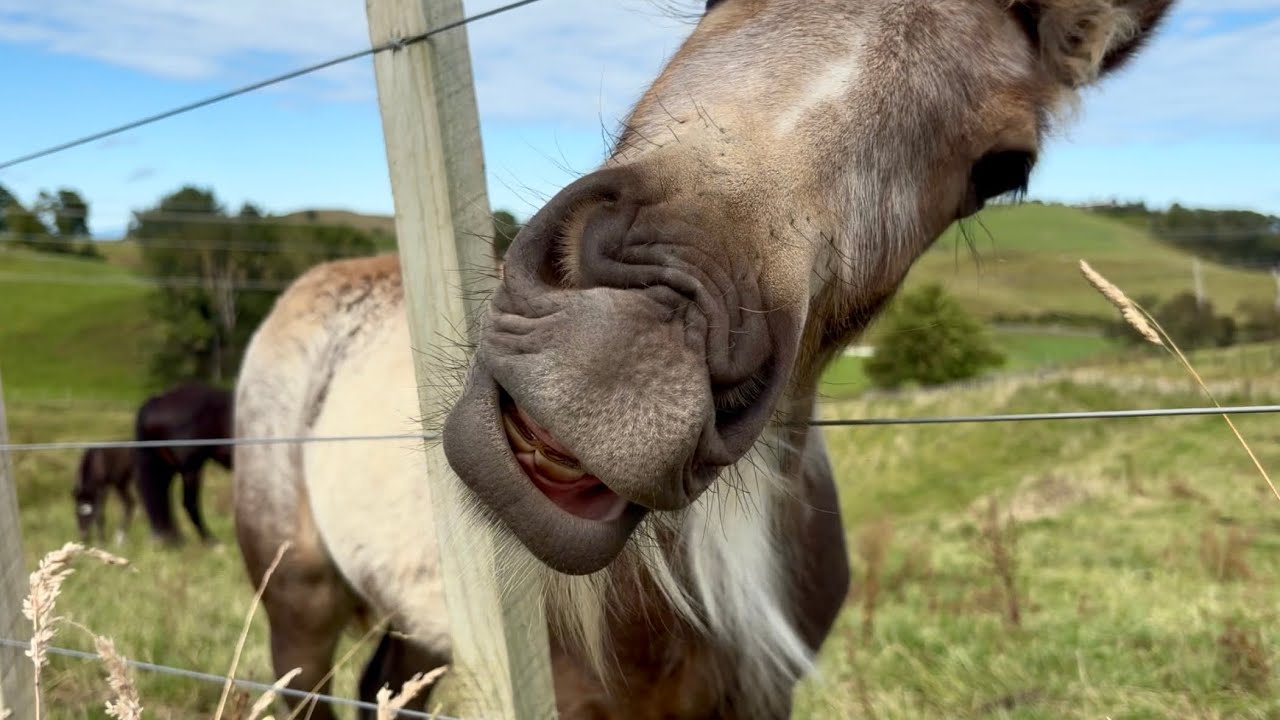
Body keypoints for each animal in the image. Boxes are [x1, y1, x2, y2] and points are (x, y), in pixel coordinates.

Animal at [134, 381, 234, 545]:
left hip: (167, 467)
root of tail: (159, 399)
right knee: (189, 503)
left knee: (162, 497)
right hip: (191, 468)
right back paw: (211, 541)